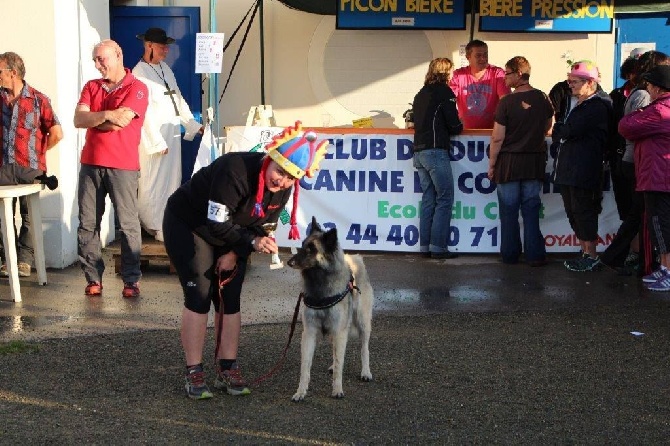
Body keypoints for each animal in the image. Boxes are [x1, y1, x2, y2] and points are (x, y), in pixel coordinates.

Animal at [288, 216, 376, 400]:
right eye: (302, 245)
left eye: (312, 249)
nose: (289, 262)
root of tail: (356, 258)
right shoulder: (310, 332)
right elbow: (305, 366)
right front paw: (301, 391)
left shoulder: (339, 330)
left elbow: (340, 362)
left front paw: (337, 389)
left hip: (362, 323)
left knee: (364, 348)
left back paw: (366, 372)